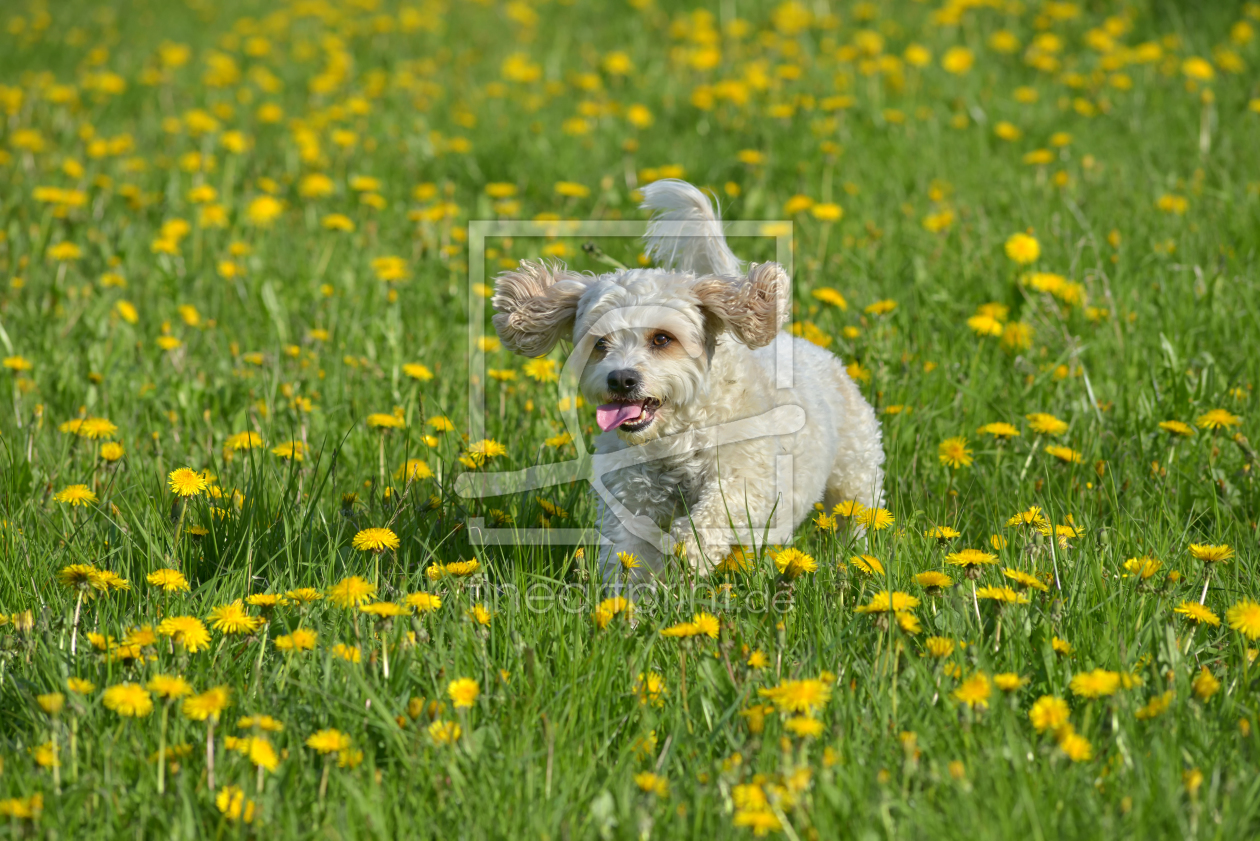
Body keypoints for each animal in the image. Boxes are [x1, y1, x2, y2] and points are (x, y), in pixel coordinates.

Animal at [491, 181, 887, 582]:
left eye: (662, 338)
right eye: (600, 343)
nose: (621, 379)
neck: (676, 438)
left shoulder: (748, 479)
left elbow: (714, 515)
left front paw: (689, 553)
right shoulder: (630, 497)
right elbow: (627, 556)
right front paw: (631, 596)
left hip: (855, 472)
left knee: (857, 512)